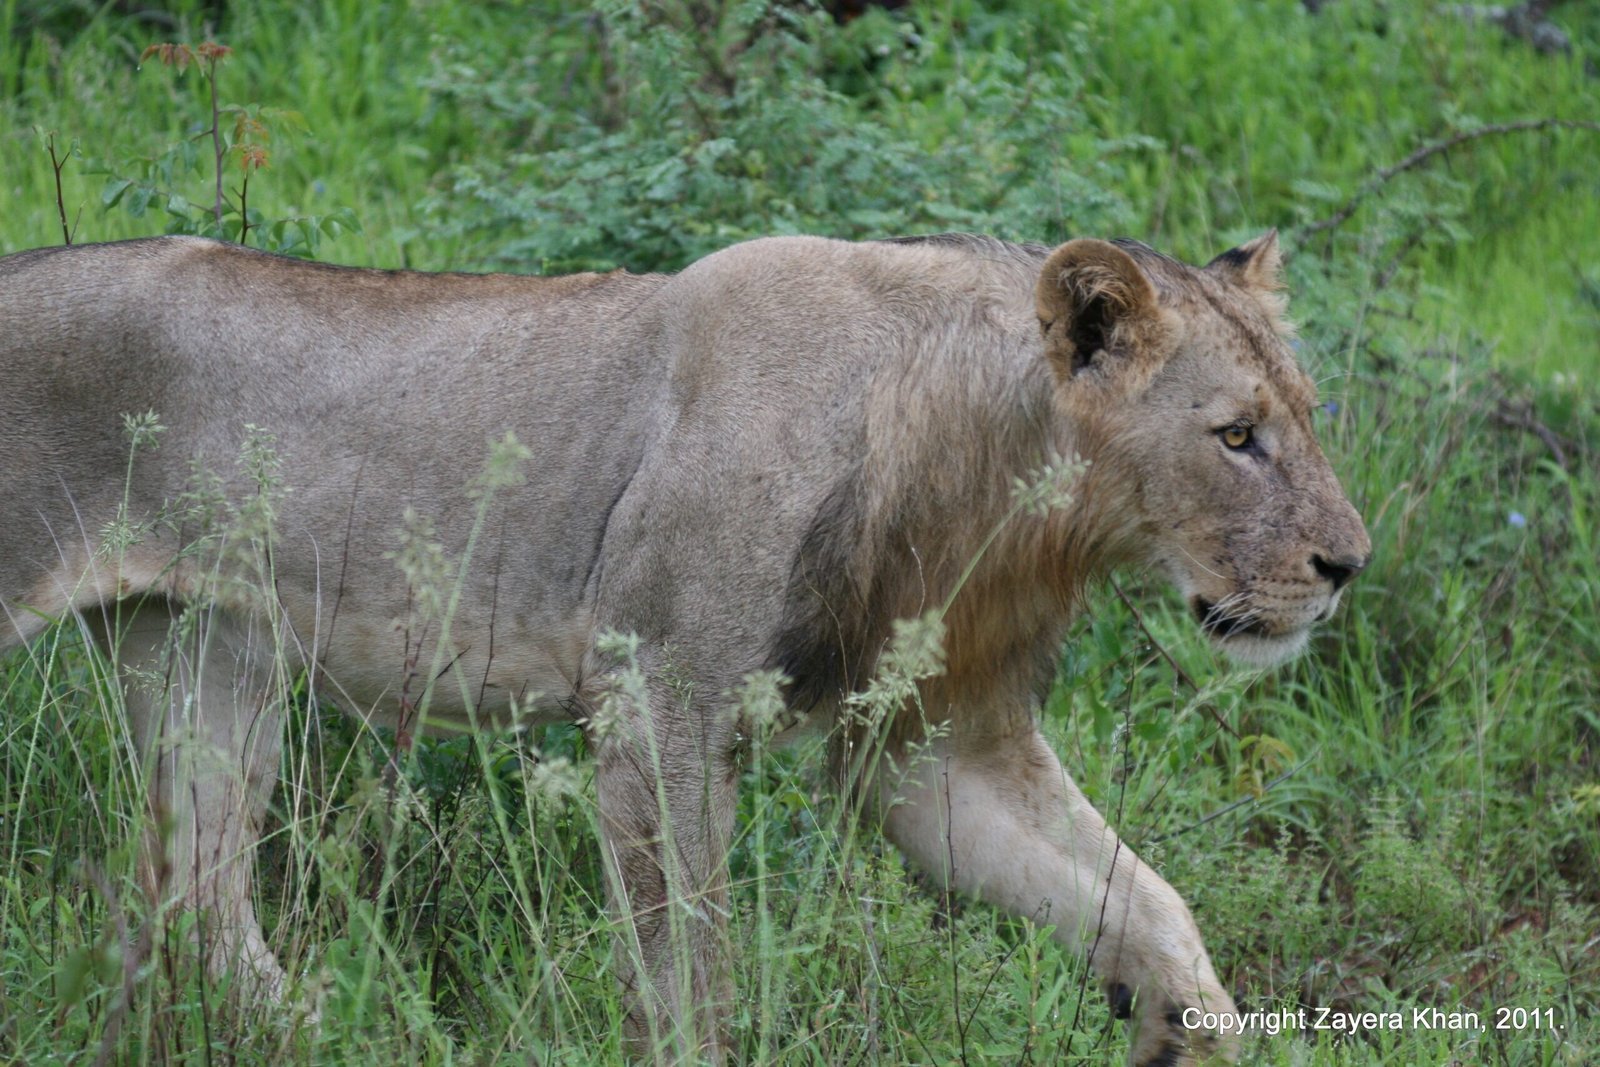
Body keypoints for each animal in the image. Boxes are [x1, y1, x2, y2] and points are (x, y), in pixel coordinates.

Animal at [0, 230, 1368, 1066]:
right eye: (1234, 435)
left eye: (1304, 416)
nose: (1349, 565)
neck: (991, 475)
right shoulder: (658, 705)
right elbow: (689, 974)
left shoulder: (931, 744)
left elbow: (1145, 901)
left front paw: (1193, 1028)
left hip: (203, 649)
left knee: (194, 897)